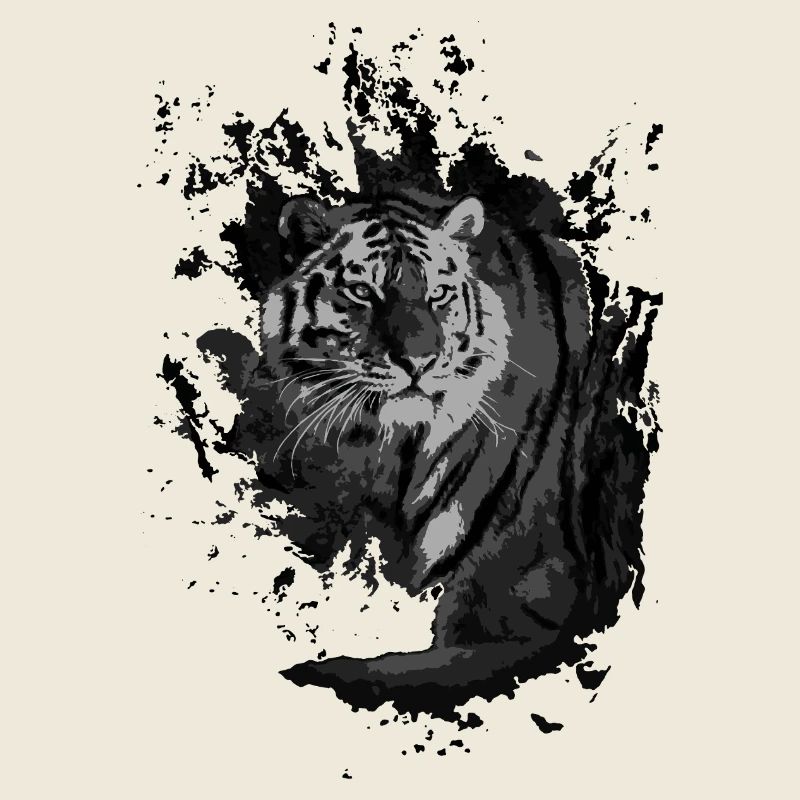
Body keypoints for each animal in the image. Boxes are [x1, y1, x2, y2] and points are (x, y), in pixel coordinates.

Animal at [223, 188, 654, 714]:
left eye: (439, 294)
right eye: (362, 292)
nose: (419, 361)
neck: (395, 453)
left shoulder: (537, 606)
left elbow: (399, 672)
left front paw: (318, 675)